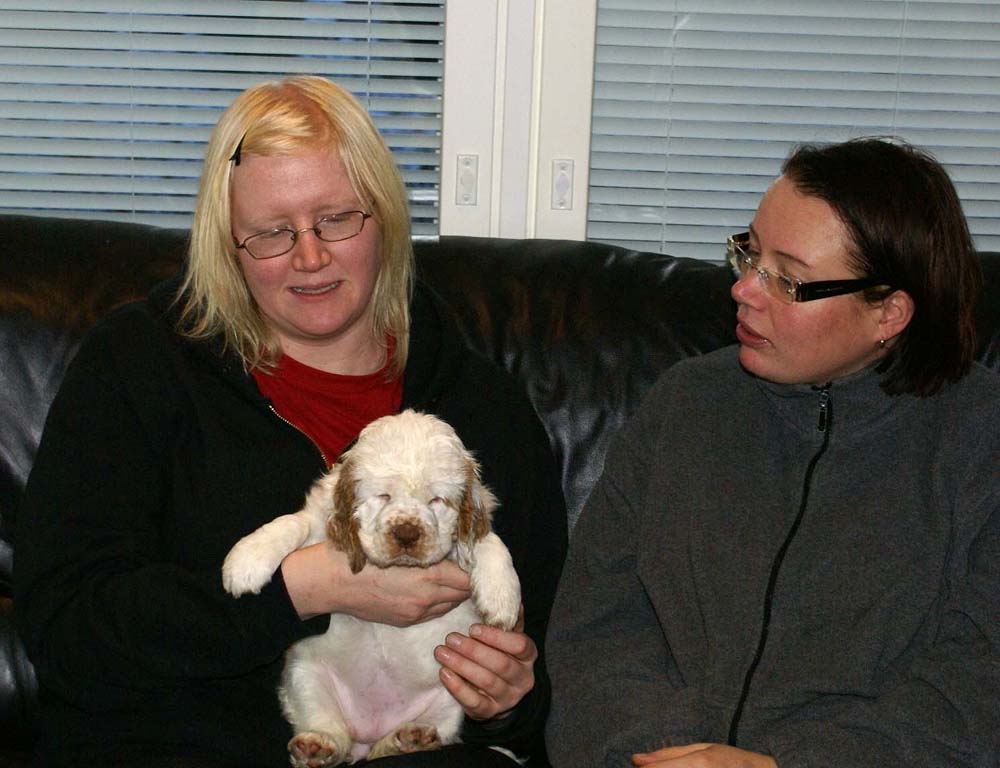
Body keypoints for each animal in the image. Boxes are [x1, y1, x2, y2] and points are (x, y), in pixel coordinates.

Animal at [222, 409, 521, 766]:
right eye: (383, 496)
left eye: (436, 500)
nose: (407, 533)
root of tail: (366, 737)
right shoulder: (321, 522)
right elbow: (293, 523)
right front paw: (246, 561)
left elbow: (490, 540)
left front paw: (503, 598)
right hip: (304, 676)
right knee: (330, 729)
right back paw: (317, 745)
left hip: (450, 694)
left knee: (425, 734)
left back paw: (407, 740)